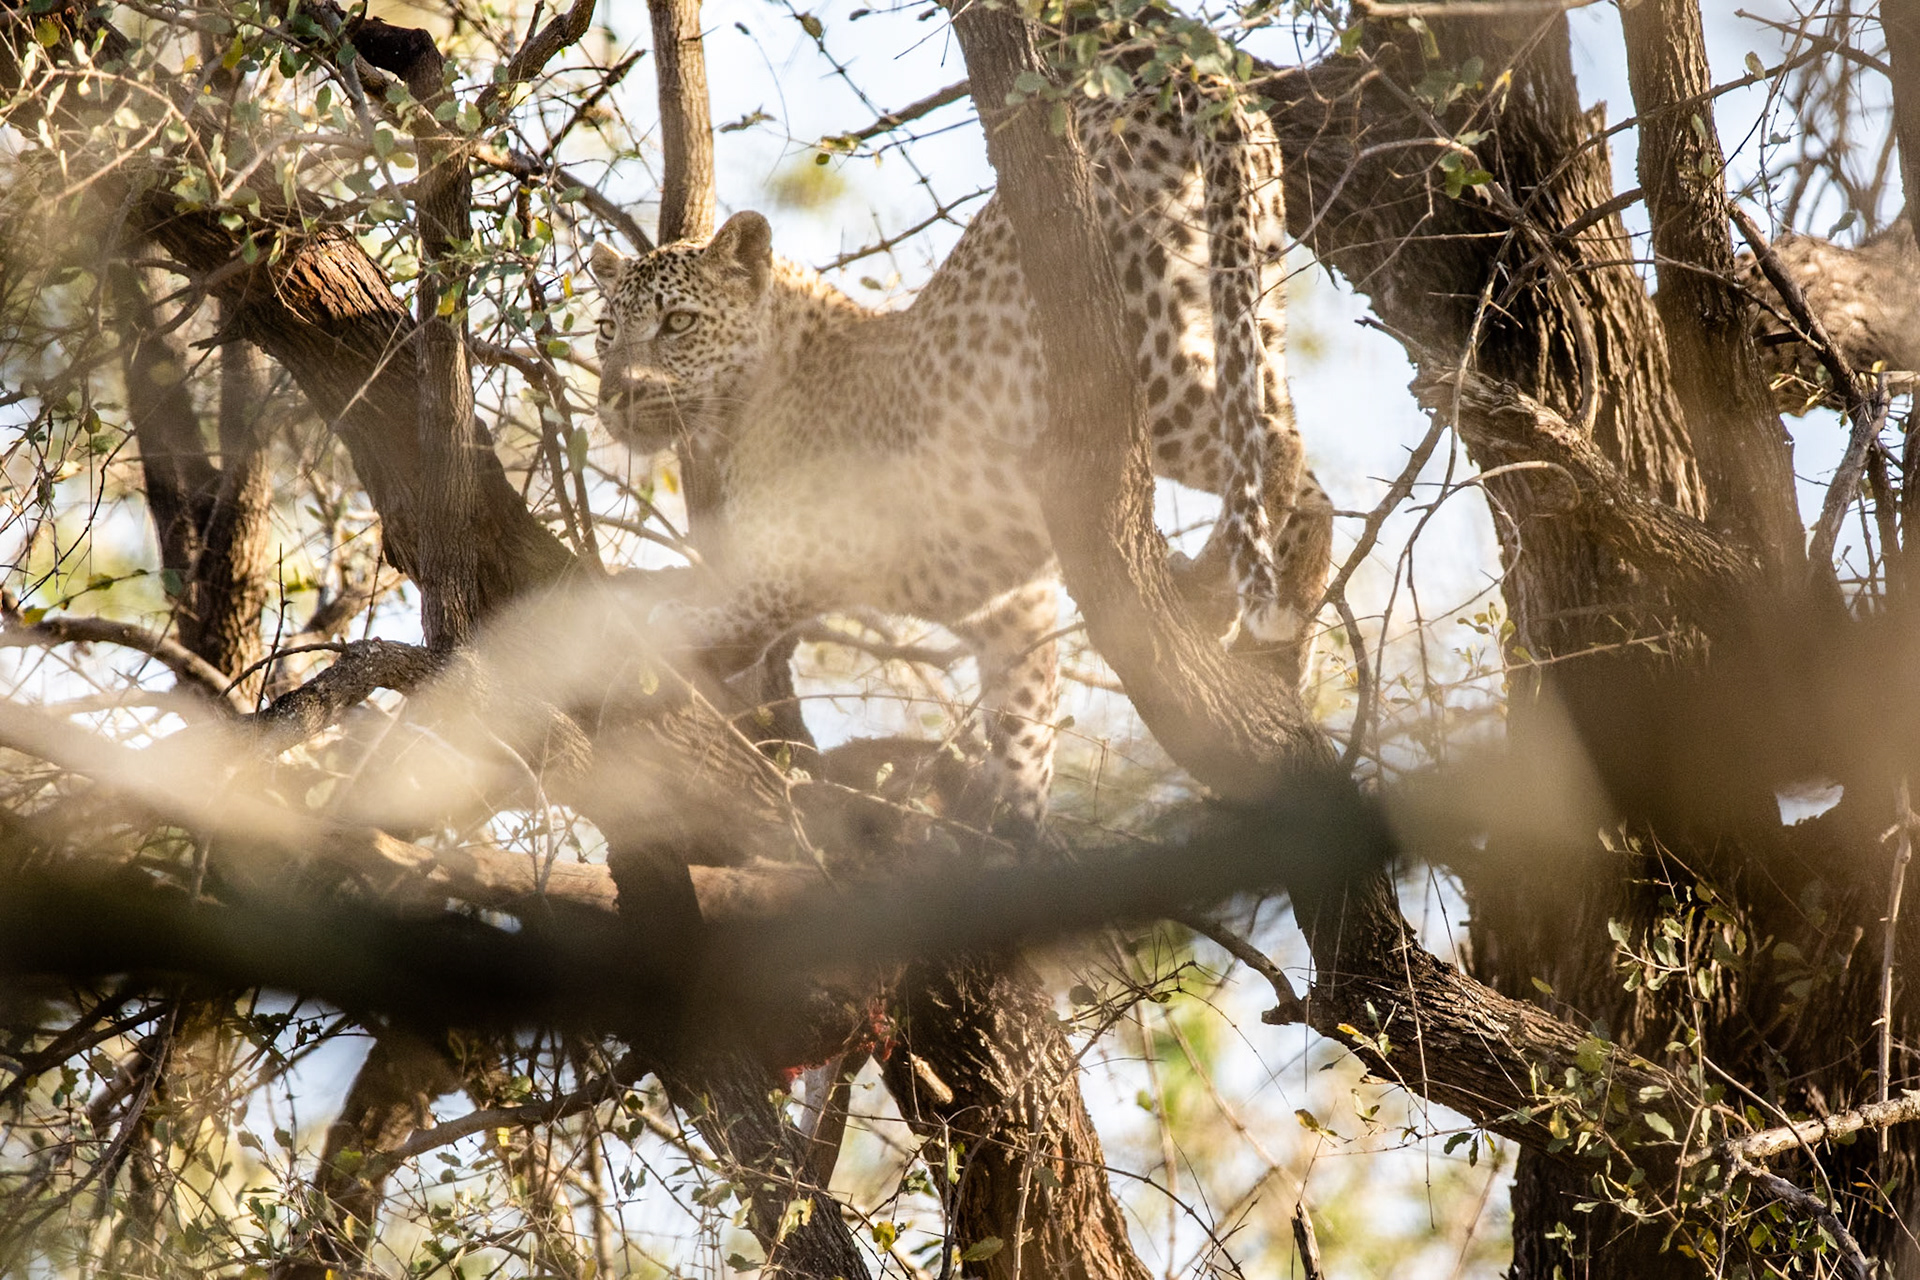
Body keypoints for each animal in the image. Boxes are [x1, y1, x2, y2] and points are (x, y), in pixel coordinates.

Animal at [590, 87, 1334, 834]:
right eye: (605, 331)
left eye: (677, 323)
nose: (617, 394)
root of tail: (1183, 78)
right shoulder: (1010, 599)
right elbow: (1023, 708)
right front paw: (1012, 816)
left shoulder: (833, 530)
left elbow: (755, 590)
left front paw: (675, 626)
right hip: (1253, 315)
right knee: (1310, 480)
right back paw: (1281, 639)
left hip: (1145, 365)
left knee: (1273, 444)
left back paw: (1209, 595)